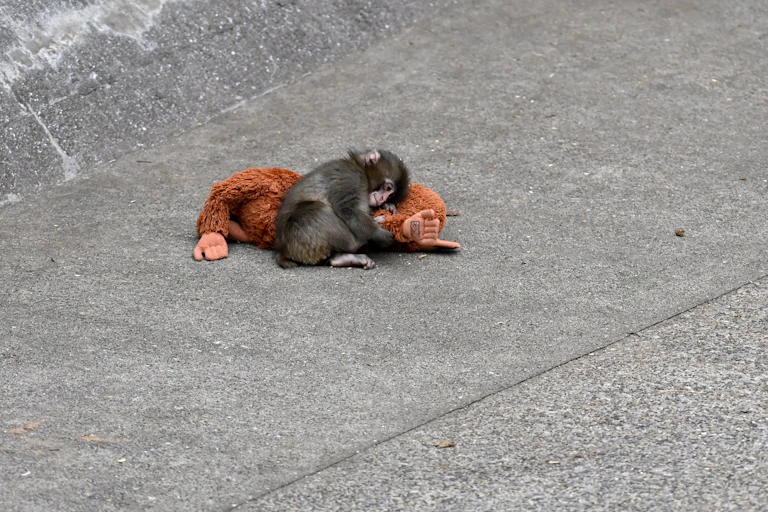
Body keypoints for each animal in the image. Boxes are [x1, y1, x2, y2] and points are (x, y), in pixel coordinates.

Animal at [273, 149, 410, 269]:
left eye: (391, 196)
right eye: (388, 188)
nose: (383, 199)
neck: (360, 168)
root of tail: (282, 250)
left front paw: (388, 206)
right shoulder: (351, 177)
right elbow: (347, 209)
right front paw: (377, 233)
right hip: (300, 237)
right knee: (318, 210)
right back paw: (359, 241)